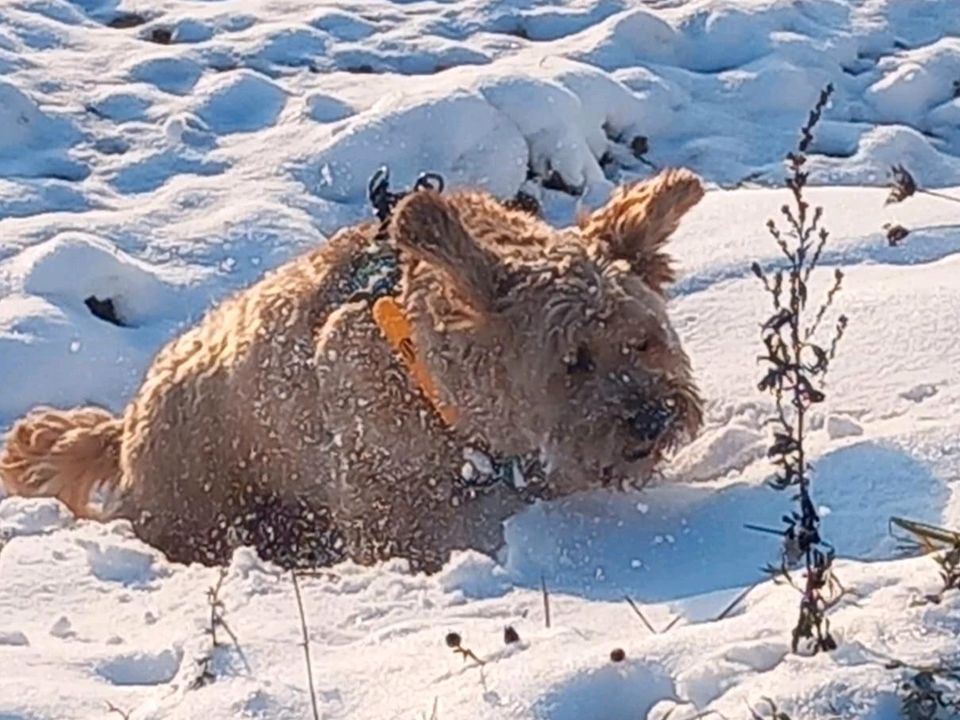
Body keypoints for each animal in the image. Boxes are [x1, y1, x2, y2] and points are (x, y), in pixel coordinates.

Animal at [0, 169, 704, 572]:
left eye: (644, 342)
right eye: (572, 362)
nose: (651, 419)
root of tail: (125, 428)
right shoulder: (384, 501)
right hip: (196, 509)